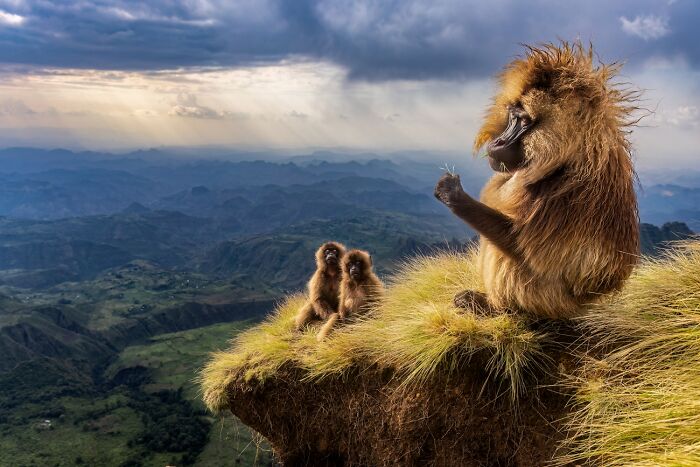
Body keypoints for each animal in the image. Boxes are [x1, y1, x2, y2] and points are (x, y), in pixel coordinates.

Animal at [434, 42, 640, 319]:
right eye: (512, 116)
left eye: (523, 121)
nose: (498, 142)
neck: (569, 154)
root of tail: (581, 305)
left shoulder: (563, 191)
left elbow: (527, 251)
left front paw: (453, 194)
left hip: (548, 300)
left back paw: (495, 308)